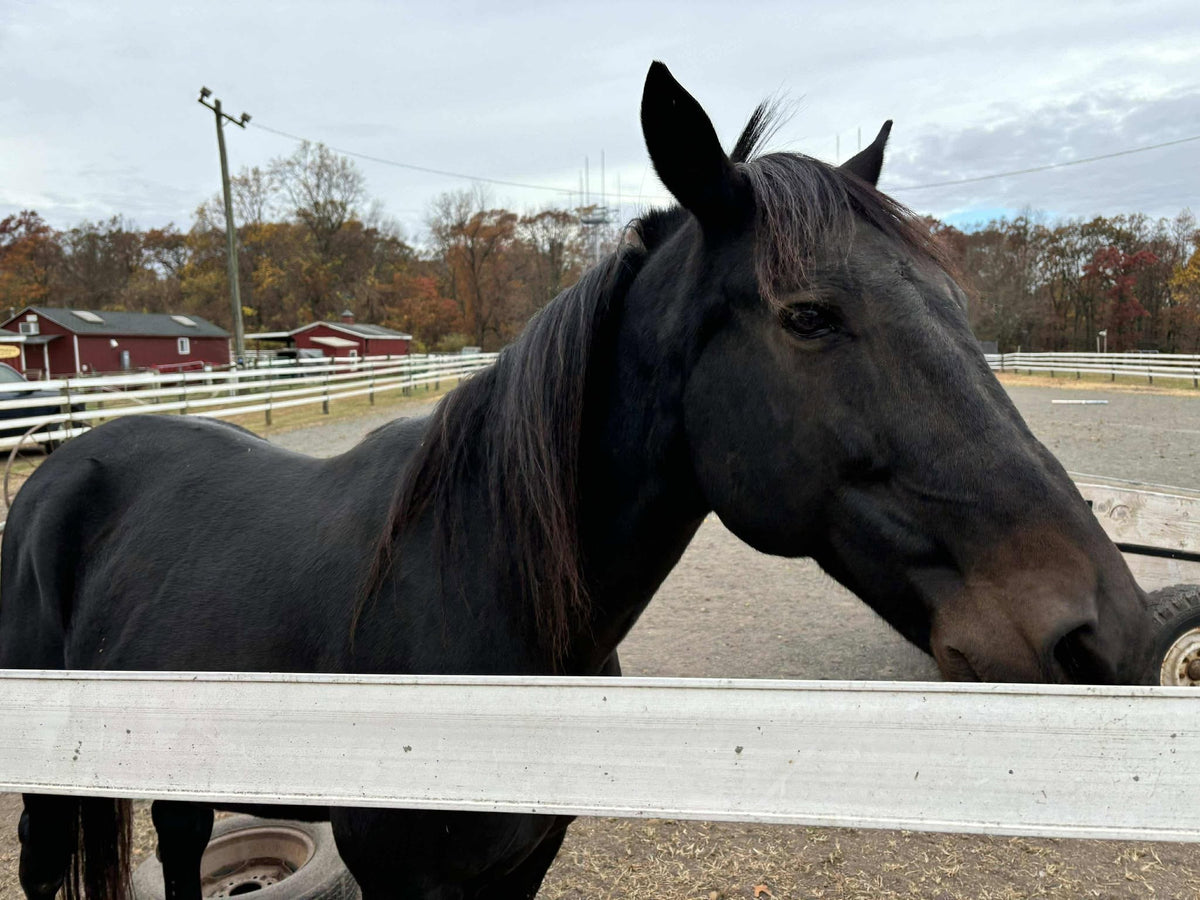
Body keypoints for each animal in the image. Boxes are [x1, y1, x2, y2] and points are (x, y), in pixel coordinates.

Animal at [1, 62, 1154, 900]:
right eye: (810, 316)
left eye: (958, 307)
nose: (1108, 634)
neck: (476, 592)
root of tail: (64, 466)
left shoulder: (521, 862)